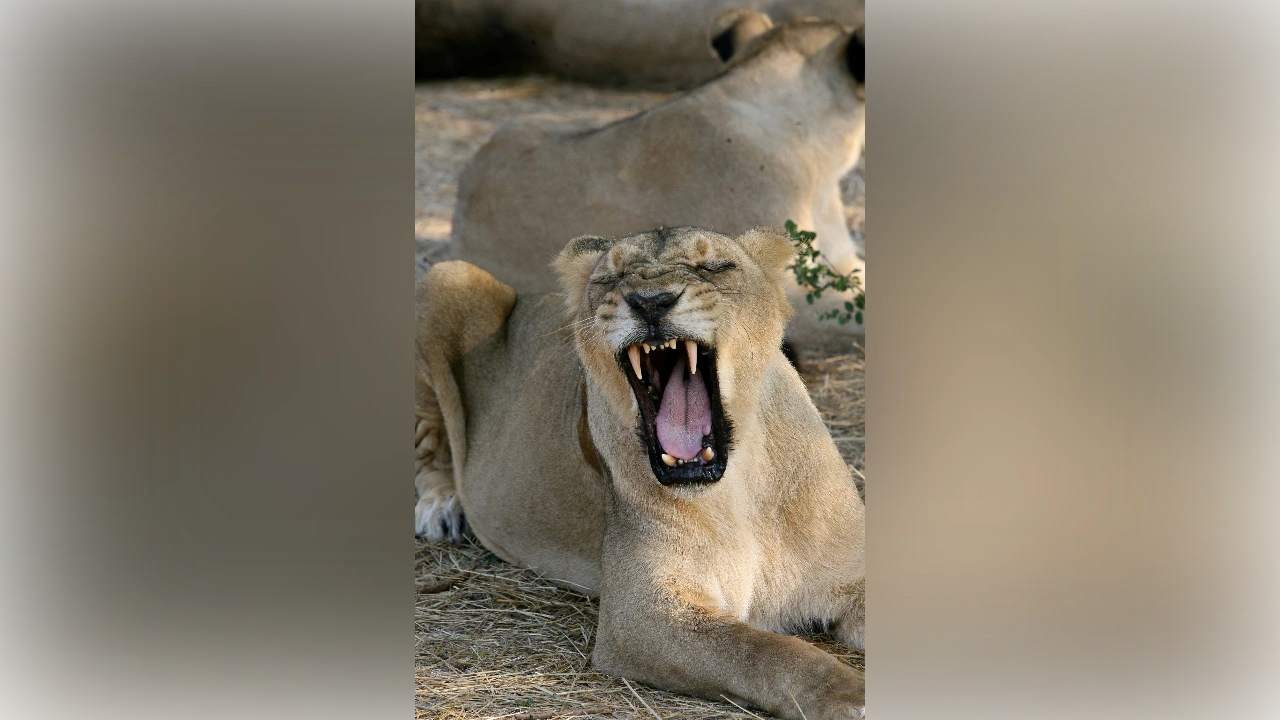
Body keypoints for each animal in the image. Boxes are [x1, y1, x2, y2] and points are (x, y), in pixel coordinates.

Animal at [416, 226, 865, 719]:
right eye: (610, 277)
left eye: (713, 266)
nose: (651, 302)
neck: (742, 486)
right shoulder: (640, 617)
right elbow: (769, 652)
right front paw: (850, 694)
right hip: (447, 277)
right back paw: (440, 506)